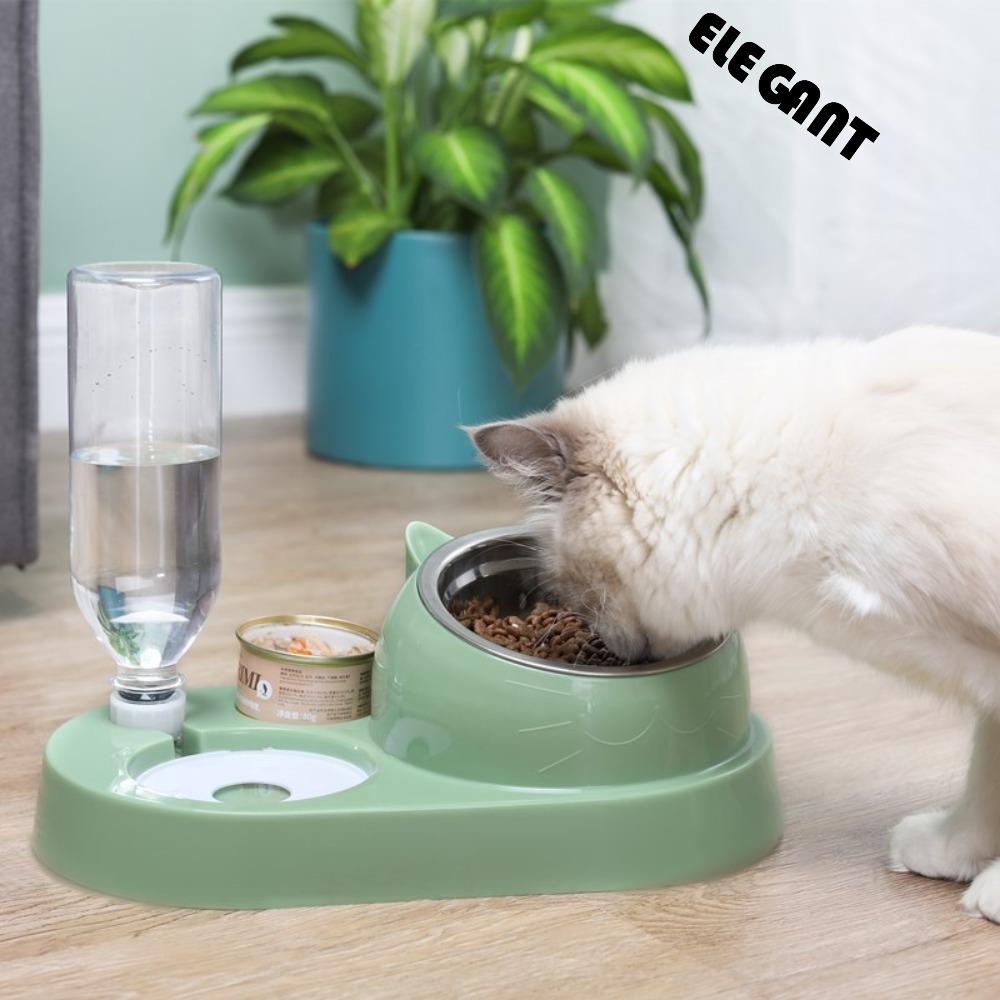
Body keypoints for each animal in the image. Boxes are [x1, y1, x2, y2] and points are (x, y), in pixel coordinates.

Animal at [468, 325, 1000, 922]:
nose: (611, 650)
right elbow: (985, 785)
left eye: (574, 593)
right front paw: (953, 858)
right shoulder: (987, 690)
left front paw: (992, 893)